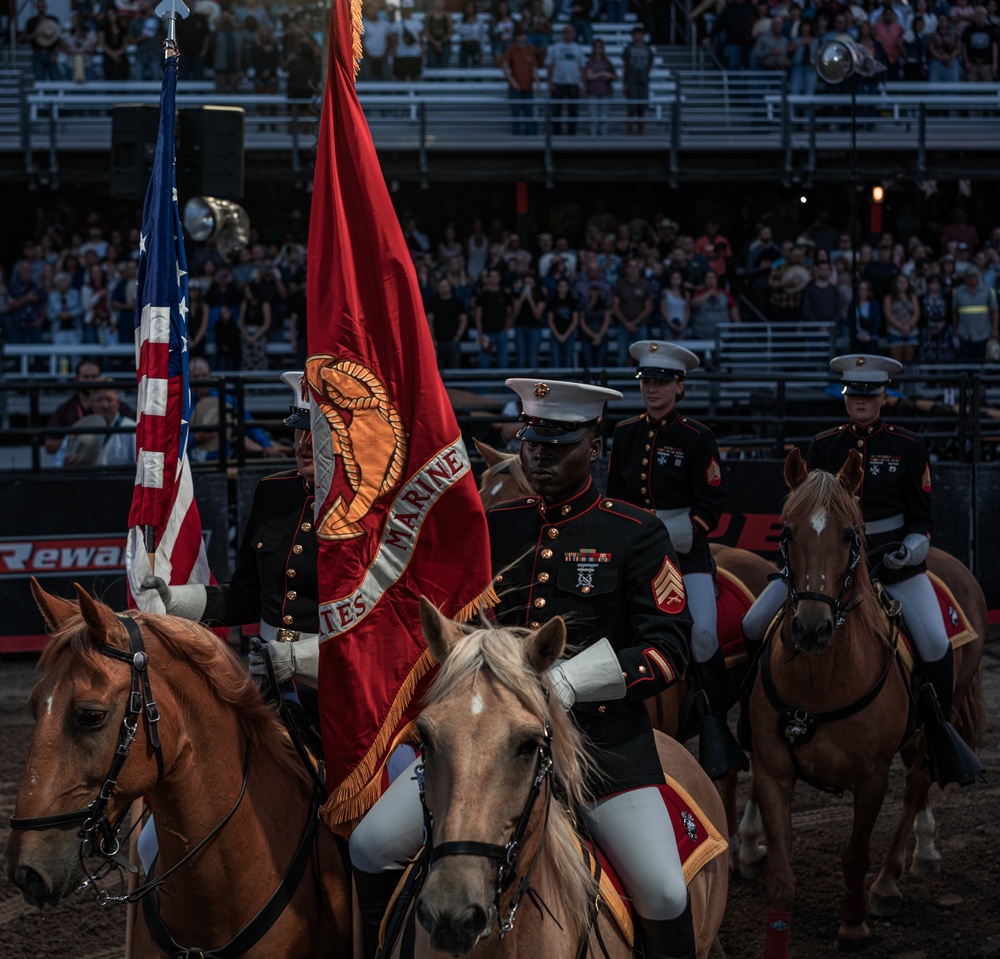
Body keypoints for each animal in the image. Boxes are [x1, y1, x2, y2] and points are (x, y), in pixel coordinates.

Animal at [752, 452, 984, 959]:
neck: (821, 680)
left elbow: (855, 855)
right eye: (786, 532)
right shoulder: (772, 773)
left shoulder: (871, 778)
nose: (812, 628)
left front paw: (854, 926)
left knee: (916, 785)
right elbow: (781, 877)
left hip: (934, 722)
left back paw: (888, 884)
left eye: (849, 534)